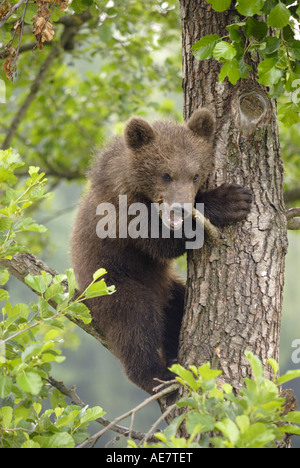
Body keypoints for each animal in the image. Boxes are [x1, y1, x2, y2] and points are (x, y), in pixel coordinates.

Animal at [70, 109, 251, 394]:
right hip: (111, 285)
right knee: (135, 319)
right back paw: (156, 375)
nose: (181, 208)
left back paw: (174, 358)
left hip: (166, 286)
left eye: (195, 175)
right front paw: (230, 200)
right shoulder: (121, 211)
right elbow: (161, 241)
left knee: (177, 305)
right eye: (166, 174)